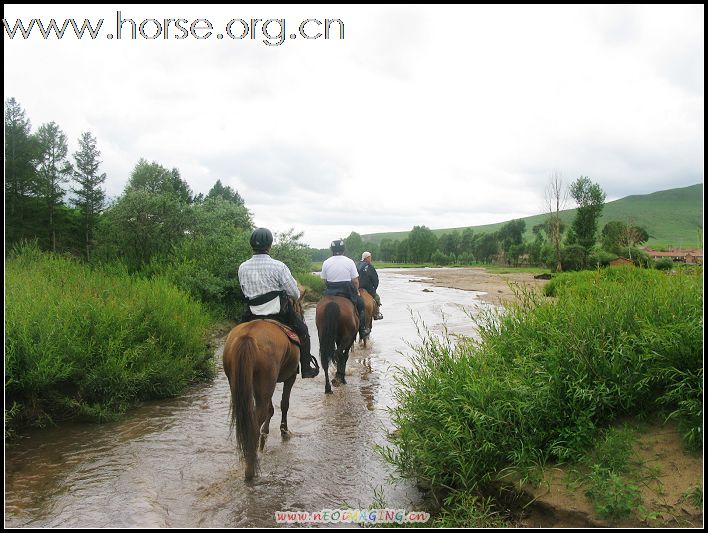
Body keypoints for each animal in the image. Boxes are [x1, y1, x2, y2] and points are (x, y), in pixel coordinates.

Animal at [224, 294, 304, 480]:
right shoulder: (290, 377)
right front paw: (283, 430)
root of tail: (247, 337)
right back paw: (250, 470)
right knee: (255, 420)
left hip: (241, 385)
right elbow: (284, 404)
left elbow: (271, 409)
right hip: (266, 383)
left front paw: (265, 436)